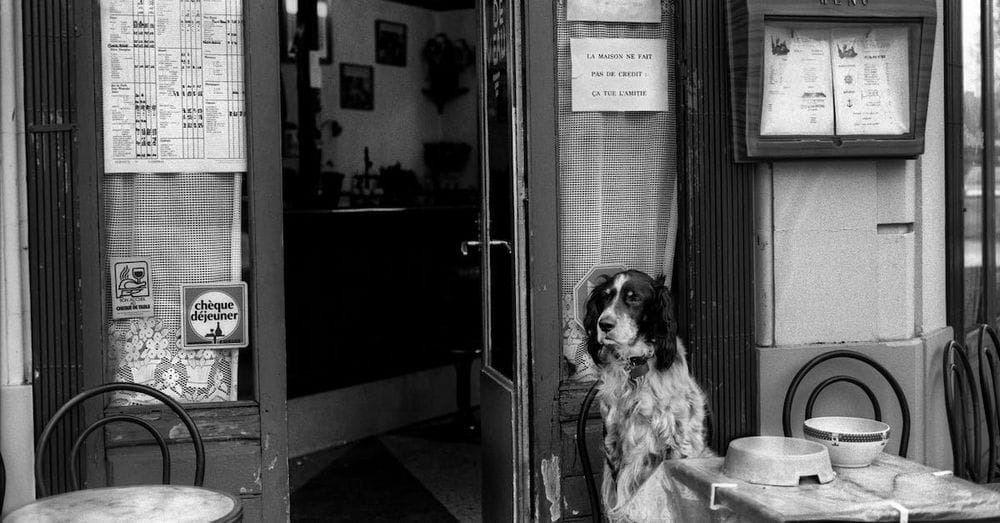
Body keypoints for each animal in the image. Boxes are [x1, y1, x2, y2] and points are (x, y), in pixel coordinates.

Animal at [584, 270, 716, 520]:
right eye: (605, 297)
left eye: (634, 298)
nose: (604, 324)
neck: (635, 367)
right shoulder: (613, 442)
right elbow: (620, 502)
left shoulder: (678, 442)